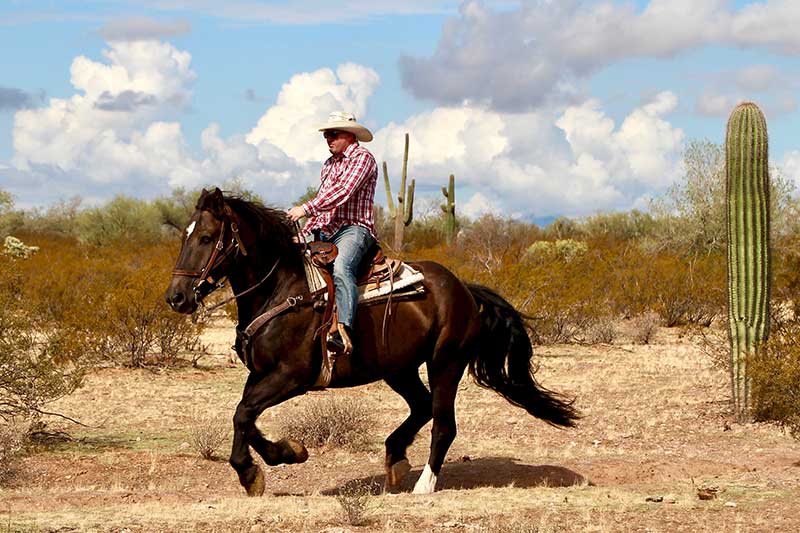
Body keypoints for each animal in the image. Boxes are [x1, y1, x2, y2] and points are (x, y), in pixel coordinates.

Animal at [164, 187, 576, 494]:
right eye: (184, 236)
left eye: (206, 237)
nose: (177, 297)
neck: (282, 288)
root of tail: (463, 289)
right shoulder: (261, 374)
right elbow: (244, 416)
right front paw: (280, 457)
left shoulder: (292, 377)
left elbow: (243, 413)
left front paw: (262, 467)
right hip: (399, 369)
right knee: (422, 406)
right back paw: (395, 458)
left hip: (446, 363)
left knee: (444, 423)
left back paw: (424, 485)